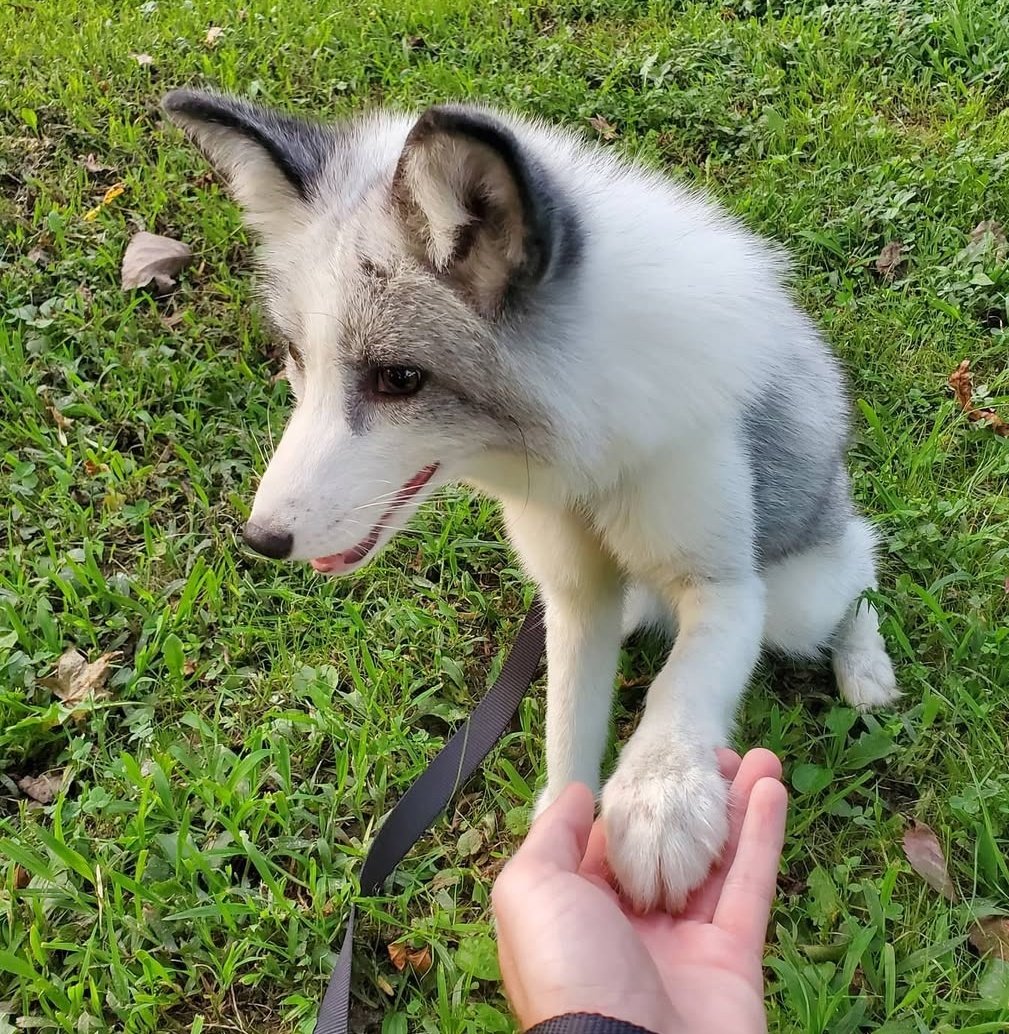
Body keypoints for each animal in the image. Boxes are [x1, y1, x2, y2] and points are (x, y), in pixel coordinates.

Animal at [163, 89, 898, 912]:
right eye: (296, 357)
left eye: (401, 379)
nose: (262, 540)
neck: (588, 464)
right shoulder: (574, 600)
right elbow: (568, 726)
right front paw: (561, 828)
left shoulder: (726, 589)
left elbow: (678, 688)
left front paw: (661, 799)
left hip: (796, 597)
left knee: (858, 555)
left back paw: (865, 664)